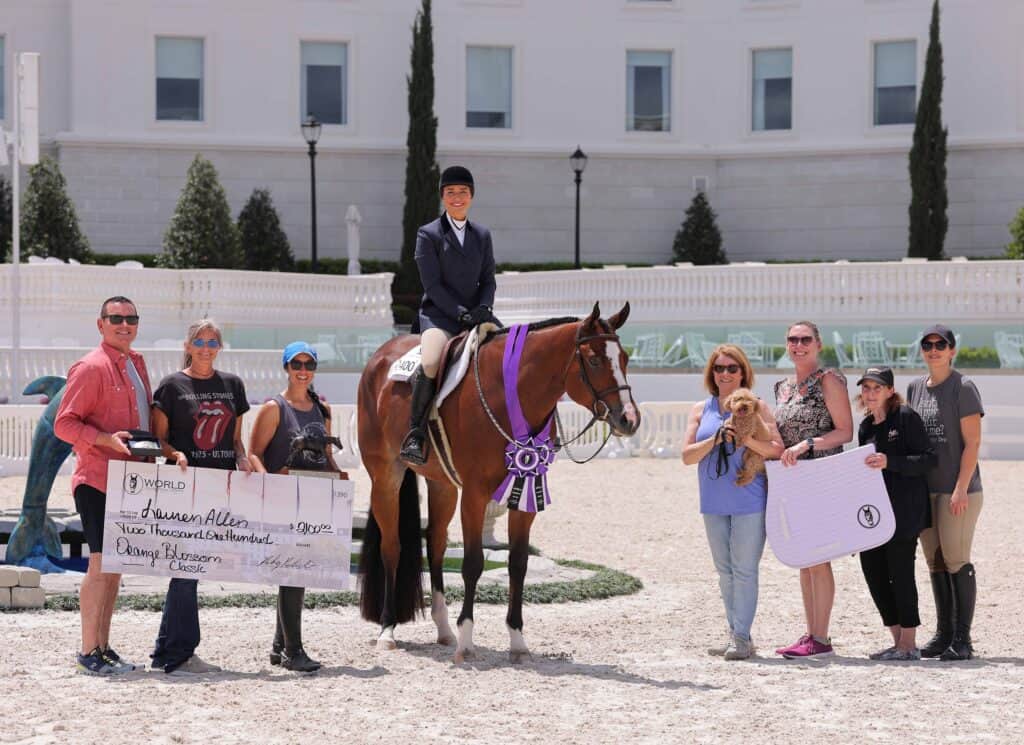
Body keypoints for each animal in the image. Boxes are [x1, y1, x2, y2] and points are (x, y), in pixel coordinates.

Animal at [356, 302, 640, 662]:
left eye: (624, 359)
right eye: (593, 360)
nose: (629, 420)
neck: (509, 393)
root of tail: (380, 355)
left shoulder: (527, 493)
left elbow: (518, 563)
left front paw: (517, 641)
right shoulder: (475, 495)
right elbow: (472, 563)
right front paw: (466, 641)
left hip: (442, 485)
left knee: (435, 545)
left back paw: (443, 630)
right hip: (385, 476)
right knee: (392, 547)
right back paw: (388, 630)